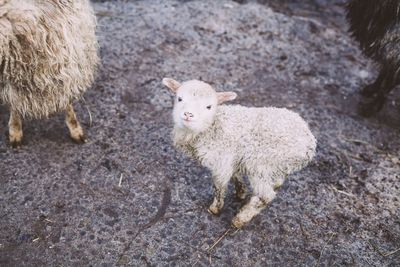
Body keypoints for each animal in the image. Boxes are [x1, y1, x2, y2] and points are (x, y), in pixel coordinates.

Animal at [162, 77, 316, 228]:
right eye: (180, 98)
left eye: (209, 106)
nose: (188, 114)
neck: (212, 126)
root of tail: (310, 145)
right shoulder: (233, 158)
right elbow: (236, 175)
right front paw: (241, 192)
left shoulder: (221, 163)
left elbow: (219, 186)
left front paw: (215, 208)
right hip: (276, 165)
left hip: (261, 165)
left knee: (266, 196)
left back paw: (240, 219)